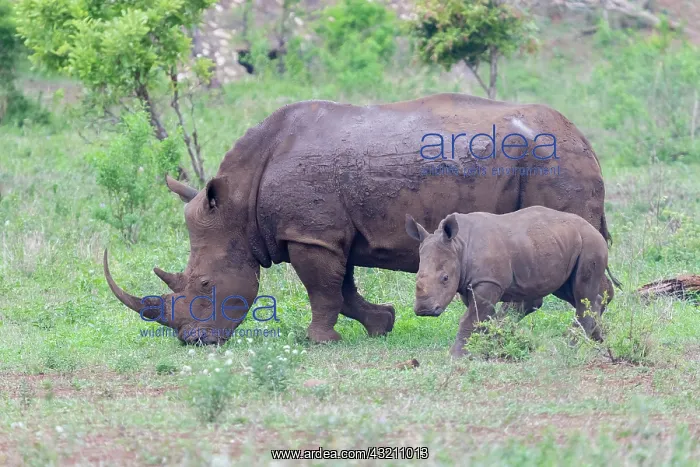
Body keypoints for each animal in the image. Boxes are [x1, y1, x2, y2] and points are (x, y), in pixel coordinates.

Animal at [406, 207, 611, 357]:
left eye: (445, 278)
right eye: (417, 277)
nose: (424, 310)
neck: (459, 245)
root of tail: (593, 228)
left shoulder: (488, 282)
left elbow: (471, 318)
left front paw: (457, 356)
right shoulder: (470, 284)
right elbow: (483, 317)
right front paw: (489, 347)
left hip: (590, 244)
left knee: (582, 292)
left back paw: (571, 345)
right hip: (561, 243)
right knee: (571, 292)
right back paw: (598, 340)